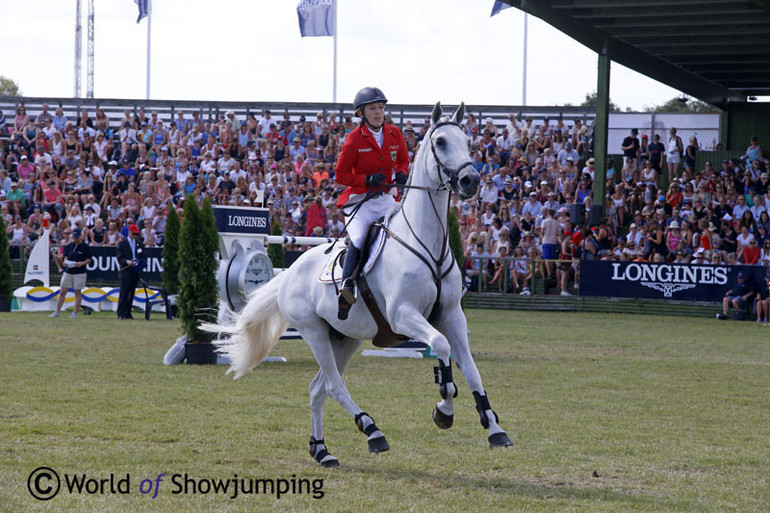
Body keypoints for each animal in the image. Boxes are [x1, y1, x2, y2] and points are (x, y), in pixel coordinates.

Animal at [208, 102, 510, 466]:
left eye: (467, 141)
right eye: (440, 142)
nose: (470, 180)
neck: (427, 243)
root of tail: (289, 274)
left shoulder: (451, 315)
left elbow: (471, 369)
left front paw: (494, 427)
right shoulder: (404, 315)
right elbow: (441, 348)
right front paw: (444, 410)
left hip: (345, 339)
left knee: (318, 388)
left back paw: (322, 450)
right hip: (314, 333)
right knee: (333, 385)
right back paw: (372, 430)